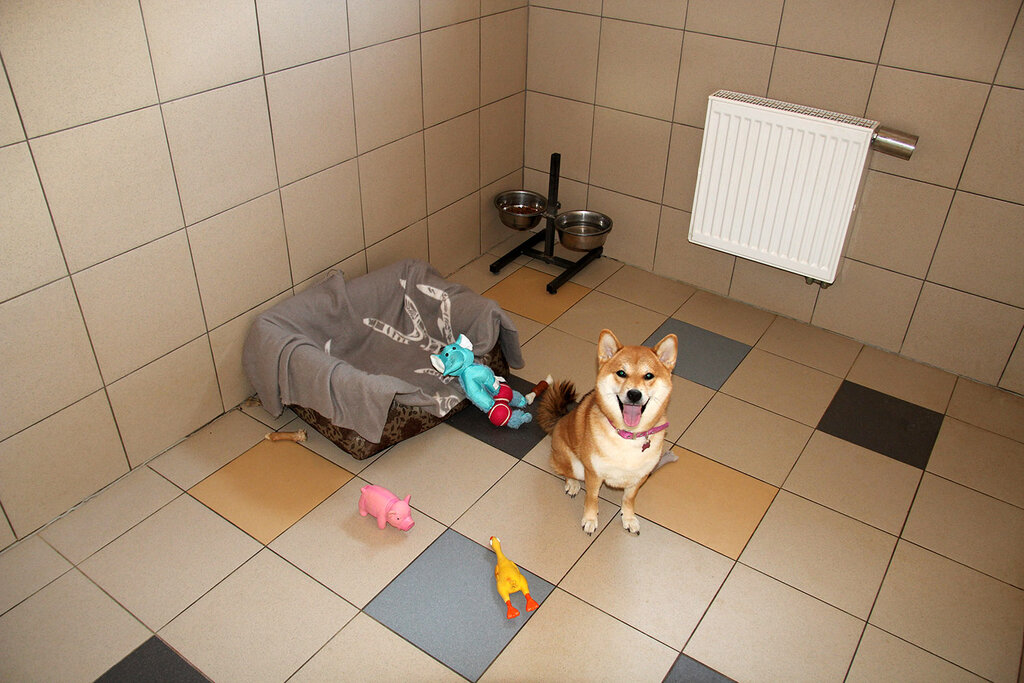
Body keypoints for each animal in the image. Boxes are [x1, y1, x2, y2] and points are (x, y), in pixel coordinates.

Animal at [537, 329, 677, 535]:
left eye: (648, 376)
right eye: (621, 373)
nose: (634, 394)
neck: (627, 436)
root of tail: (559, 421)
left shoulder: (639, 477)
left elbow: (628, 499)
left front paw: (628, 518)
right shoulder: (593, 474)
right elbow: (592, 498)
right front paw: (590, 519)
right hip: (574, 463)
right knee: (565, 471)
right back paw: (572, 483)